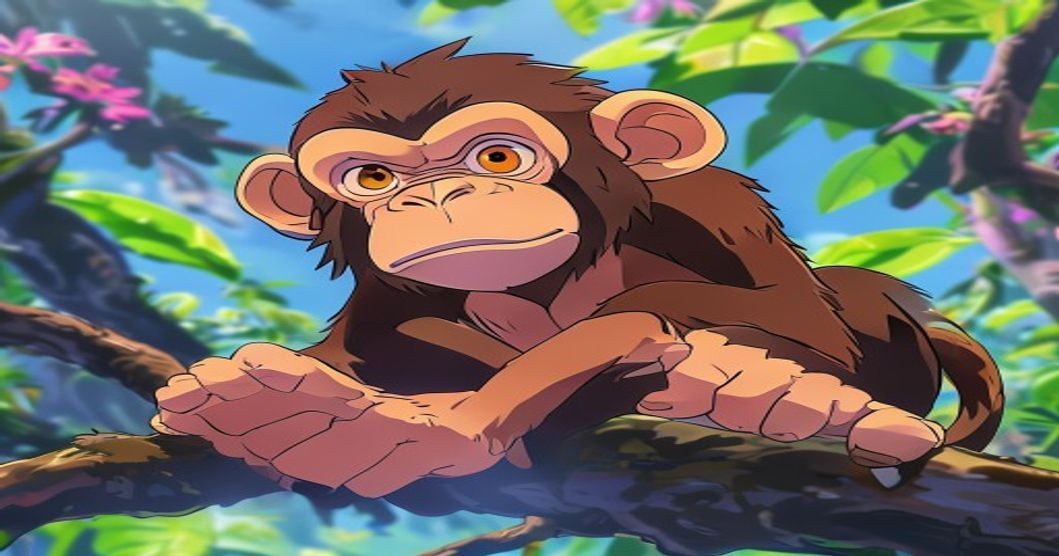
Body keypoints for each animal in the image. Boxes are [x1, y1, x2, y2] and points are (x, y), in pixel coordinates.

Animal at [152, 41, 1004, 504]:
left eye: (498, 157)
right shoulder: (382, 294)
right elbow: (372, 342)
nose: (438, 196)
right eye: (373, 179)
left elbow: (804, 325)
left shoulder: (713, 209)